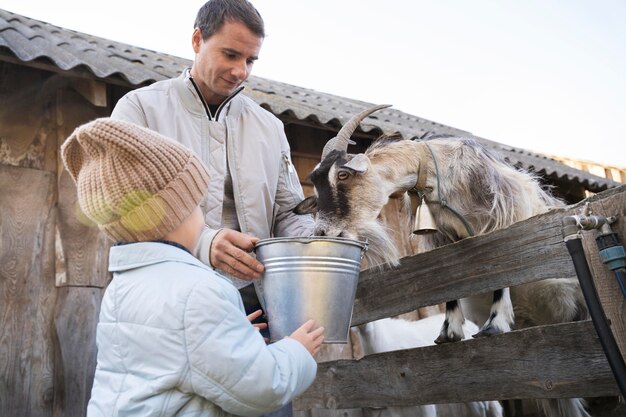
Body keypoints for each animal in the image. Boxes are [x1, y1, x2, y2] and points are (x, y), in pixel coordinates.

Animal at [292, 105, 588, 416]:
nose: (322, 233)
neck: (435, 170)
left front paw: (494, 324)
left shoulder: (499, 218)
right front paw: (449, 331)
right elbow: (448, 284)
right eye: (315, 185)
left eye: (343, 175)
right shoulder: (442, 237)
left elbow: (499, 270)